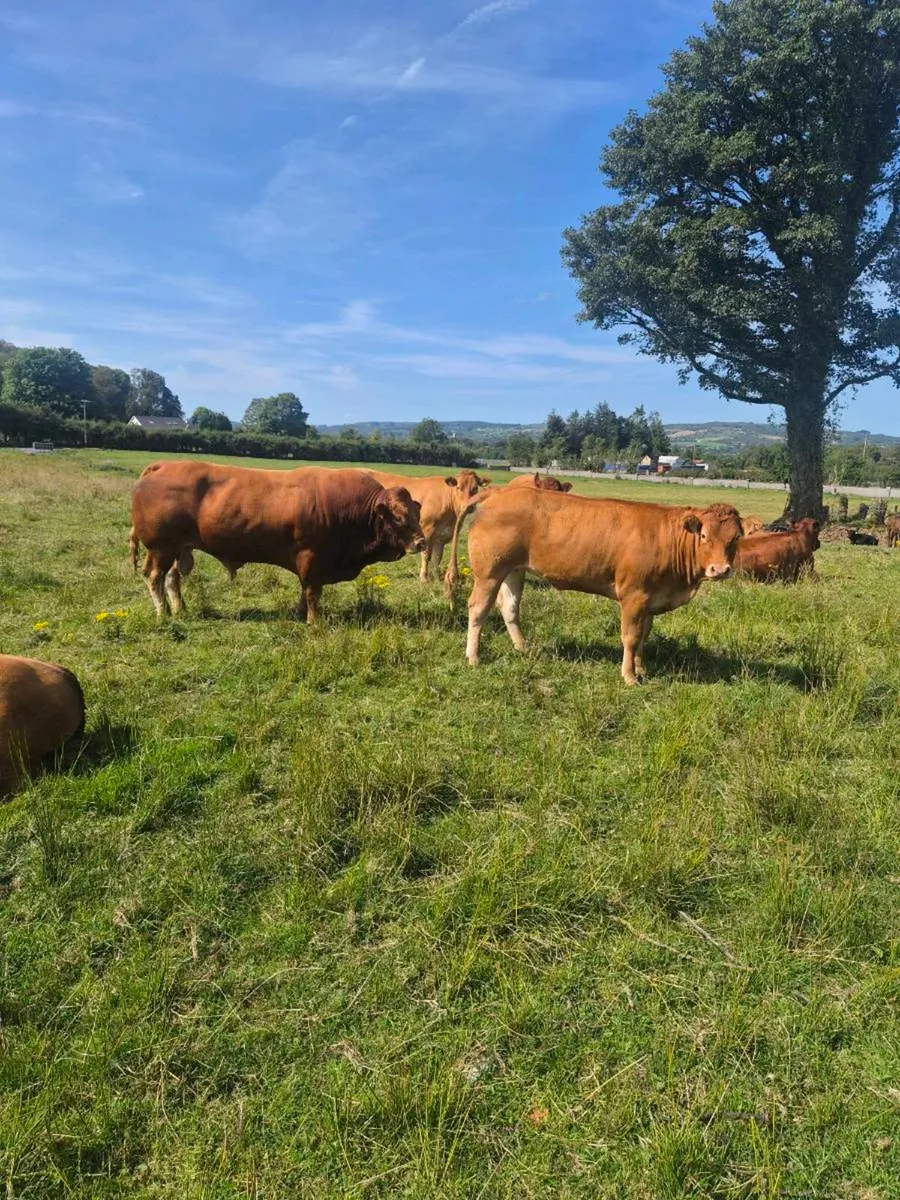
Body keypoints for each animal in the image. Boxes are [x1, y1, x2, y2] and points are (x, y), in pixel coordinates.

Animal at [129, 461, 426, 621]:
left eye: (417, 514)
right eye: (399, 518)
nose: (422, 543)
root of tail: (162, 466)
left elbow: (304, 591)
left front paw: (299, 612)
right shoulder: (311, 558)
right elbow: (312, 593)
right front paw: (313, 621)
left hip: (178, 549)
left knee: (171, 579)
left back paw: (179, 610)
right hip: (161, 548)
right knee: (154, 577)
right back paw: (162, 613)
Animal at [445, 490, 743, 684]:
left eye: (736, 538)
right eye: (704, 535)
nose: (720, 570)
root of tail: (499, 491)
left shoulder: (650, 600)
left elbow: (643, 637)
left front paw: (641, 669)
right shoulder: (634, 596)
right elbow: (631, 637)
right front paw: (629, 676)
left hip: (514, 570)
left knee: (509, 607)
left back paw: (523, 648)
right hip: (489, 573)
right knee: (478, 609)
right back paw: (473, 657)